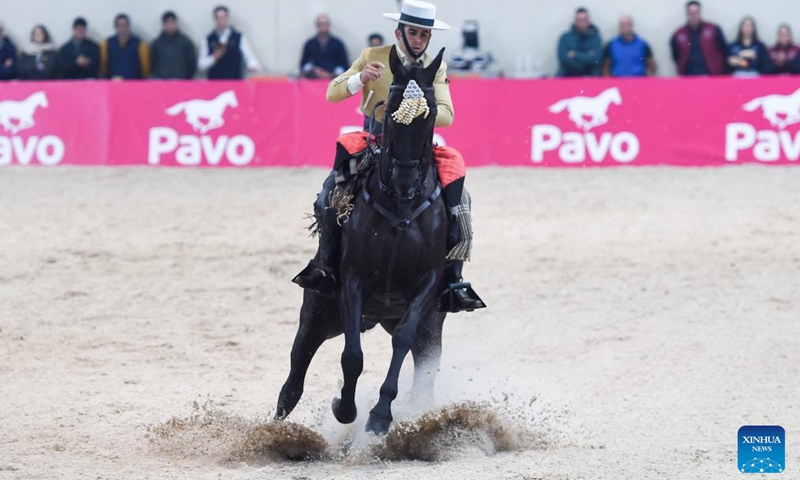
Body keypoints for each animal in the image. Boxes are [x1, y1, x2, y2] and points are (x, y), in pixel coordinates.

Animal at [276, 47, 450, 436]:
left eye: (430, 113)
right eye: (393, 108)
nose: (404, 179)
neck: (401, 206)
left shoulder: (427, 284)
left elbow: (402, 340)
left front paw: (381, 415)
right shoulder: (354, 280)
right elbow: (352, 356)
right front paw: (344, 408)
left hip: (430, 325)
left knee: (425, 369)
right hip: (320, 313)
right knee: (295, 373)